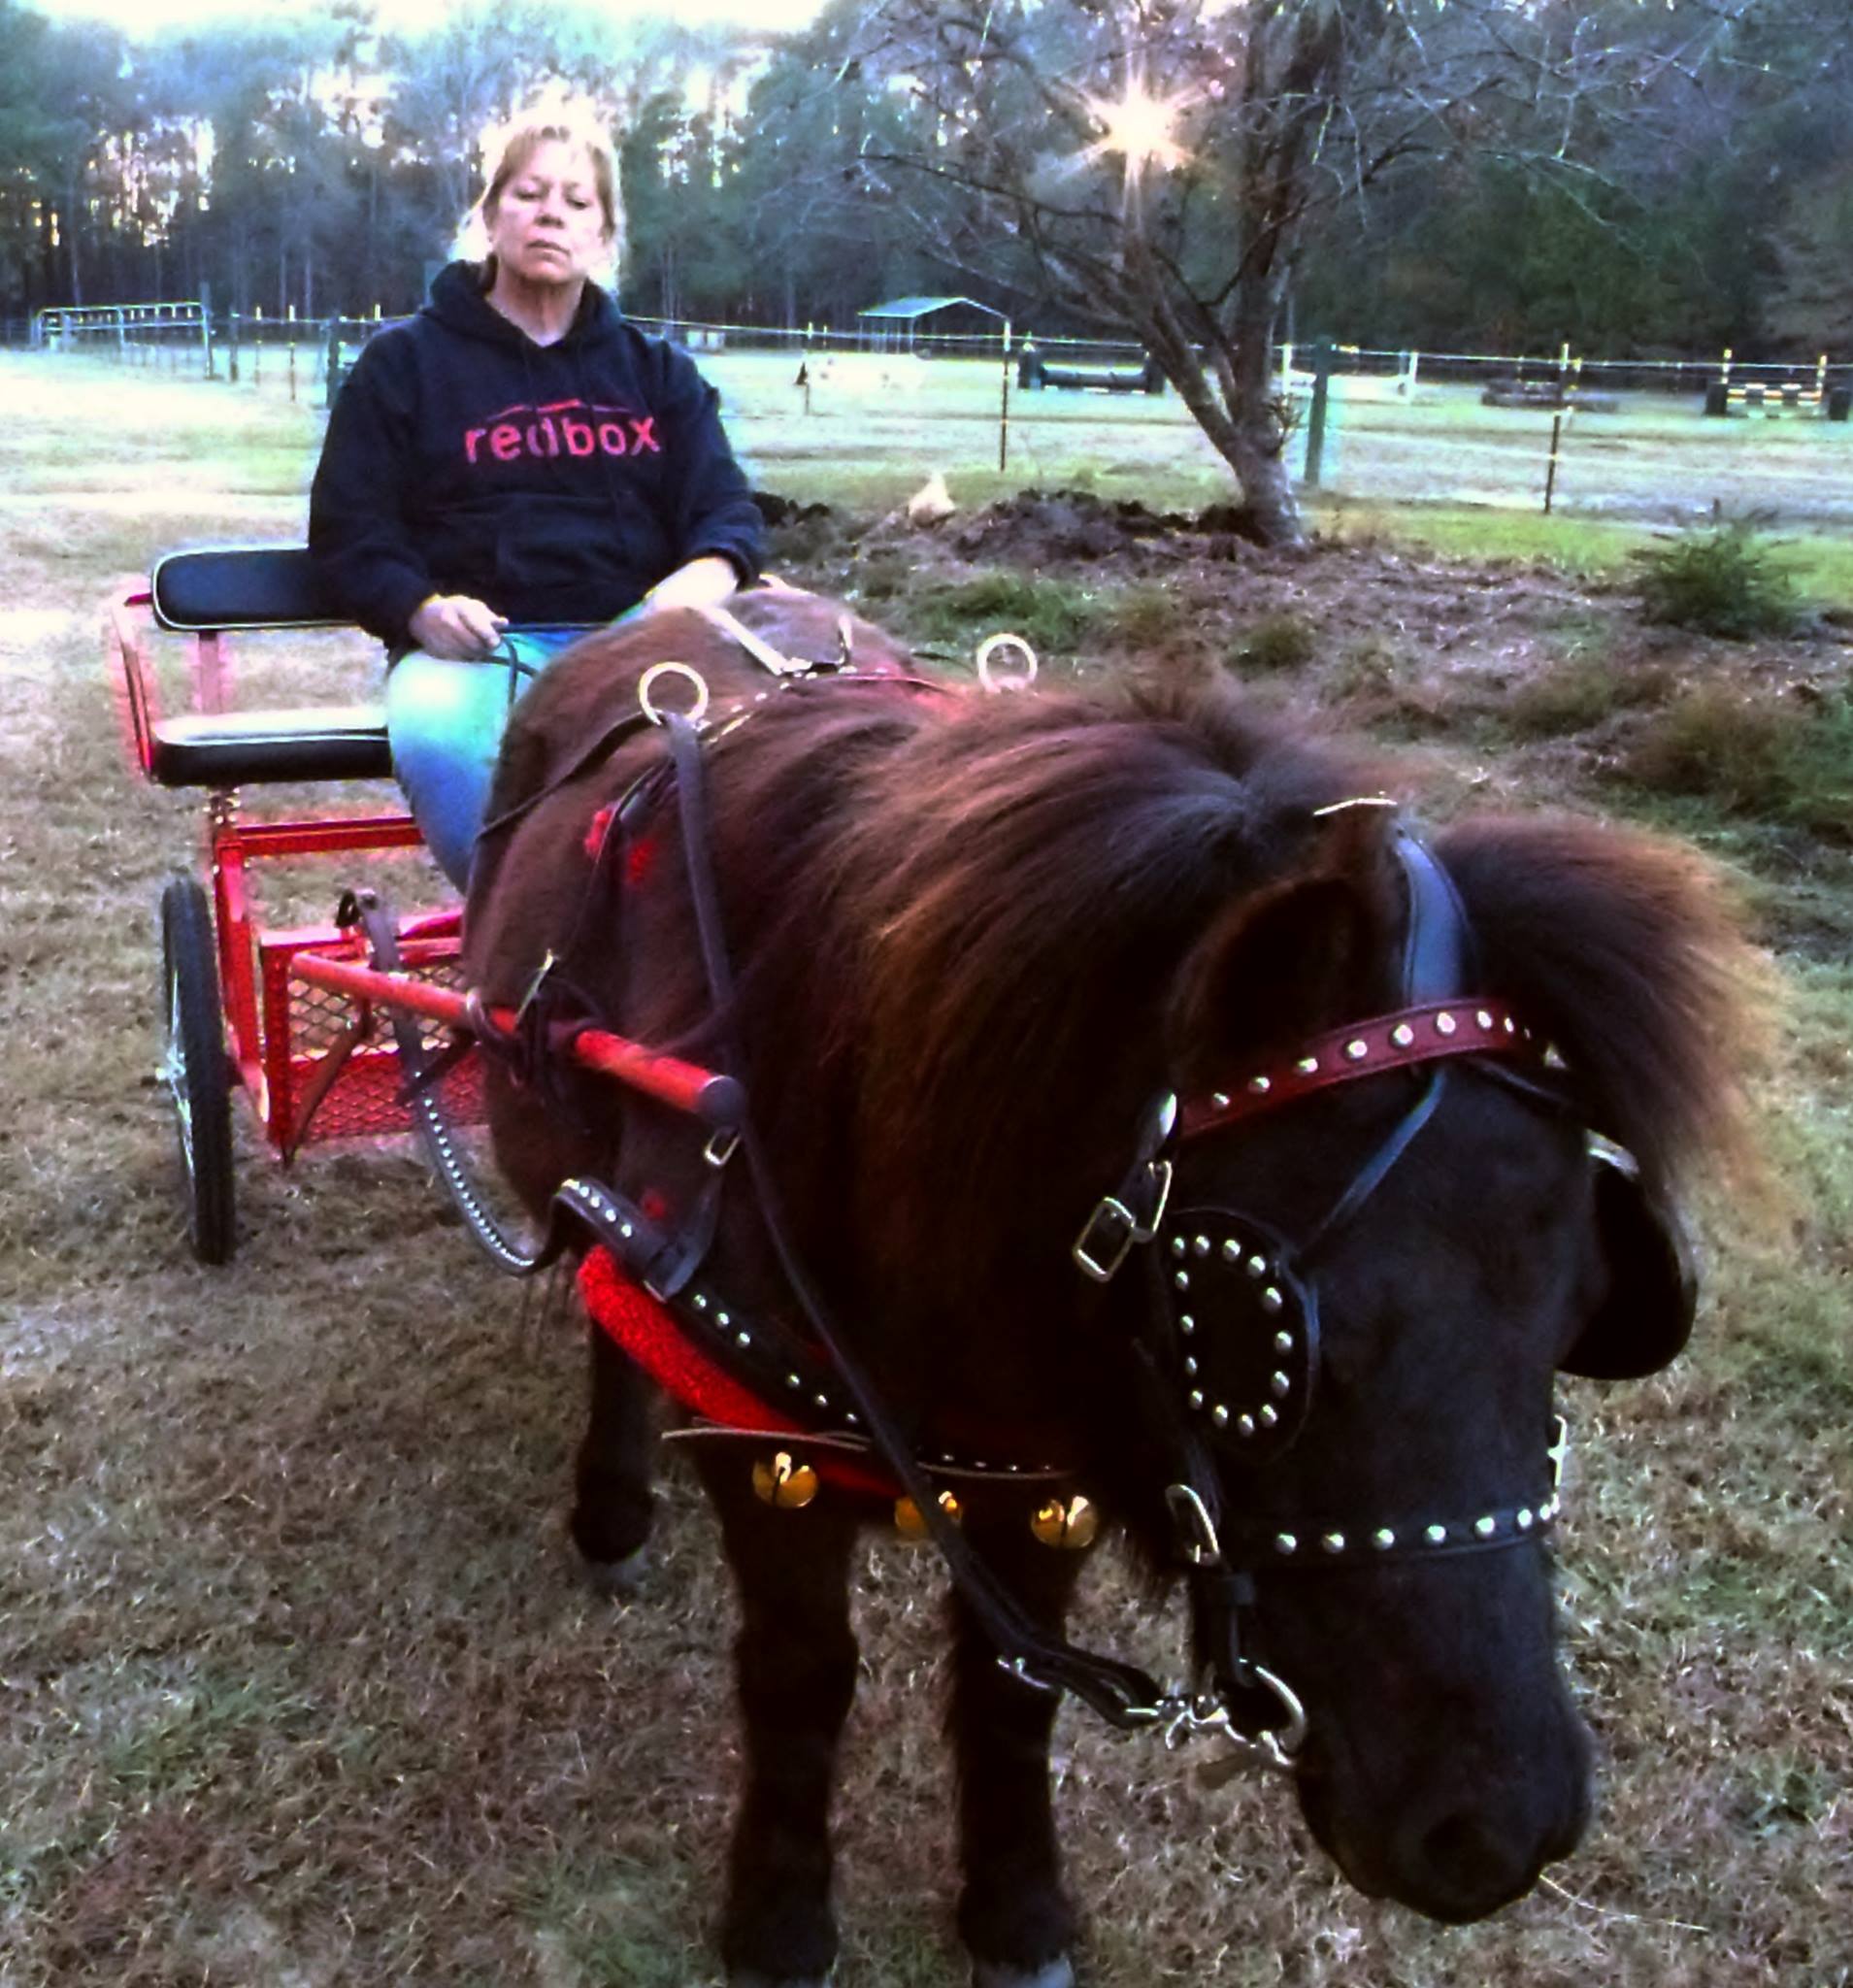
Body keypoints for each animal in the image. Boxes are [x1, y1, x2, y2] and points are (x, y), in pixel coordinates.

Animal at [461, 588, 1747, 1988]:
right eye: (1263, 1341)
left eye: (1587, 1305)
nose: (1491, 1829)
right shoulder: (767, 1444)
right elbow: (802, 1673)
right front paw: (781, 1916)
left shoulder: (1038, 1464)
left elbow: (1008, 1690)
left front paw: (1016, 1909)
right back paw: (612, 1506)